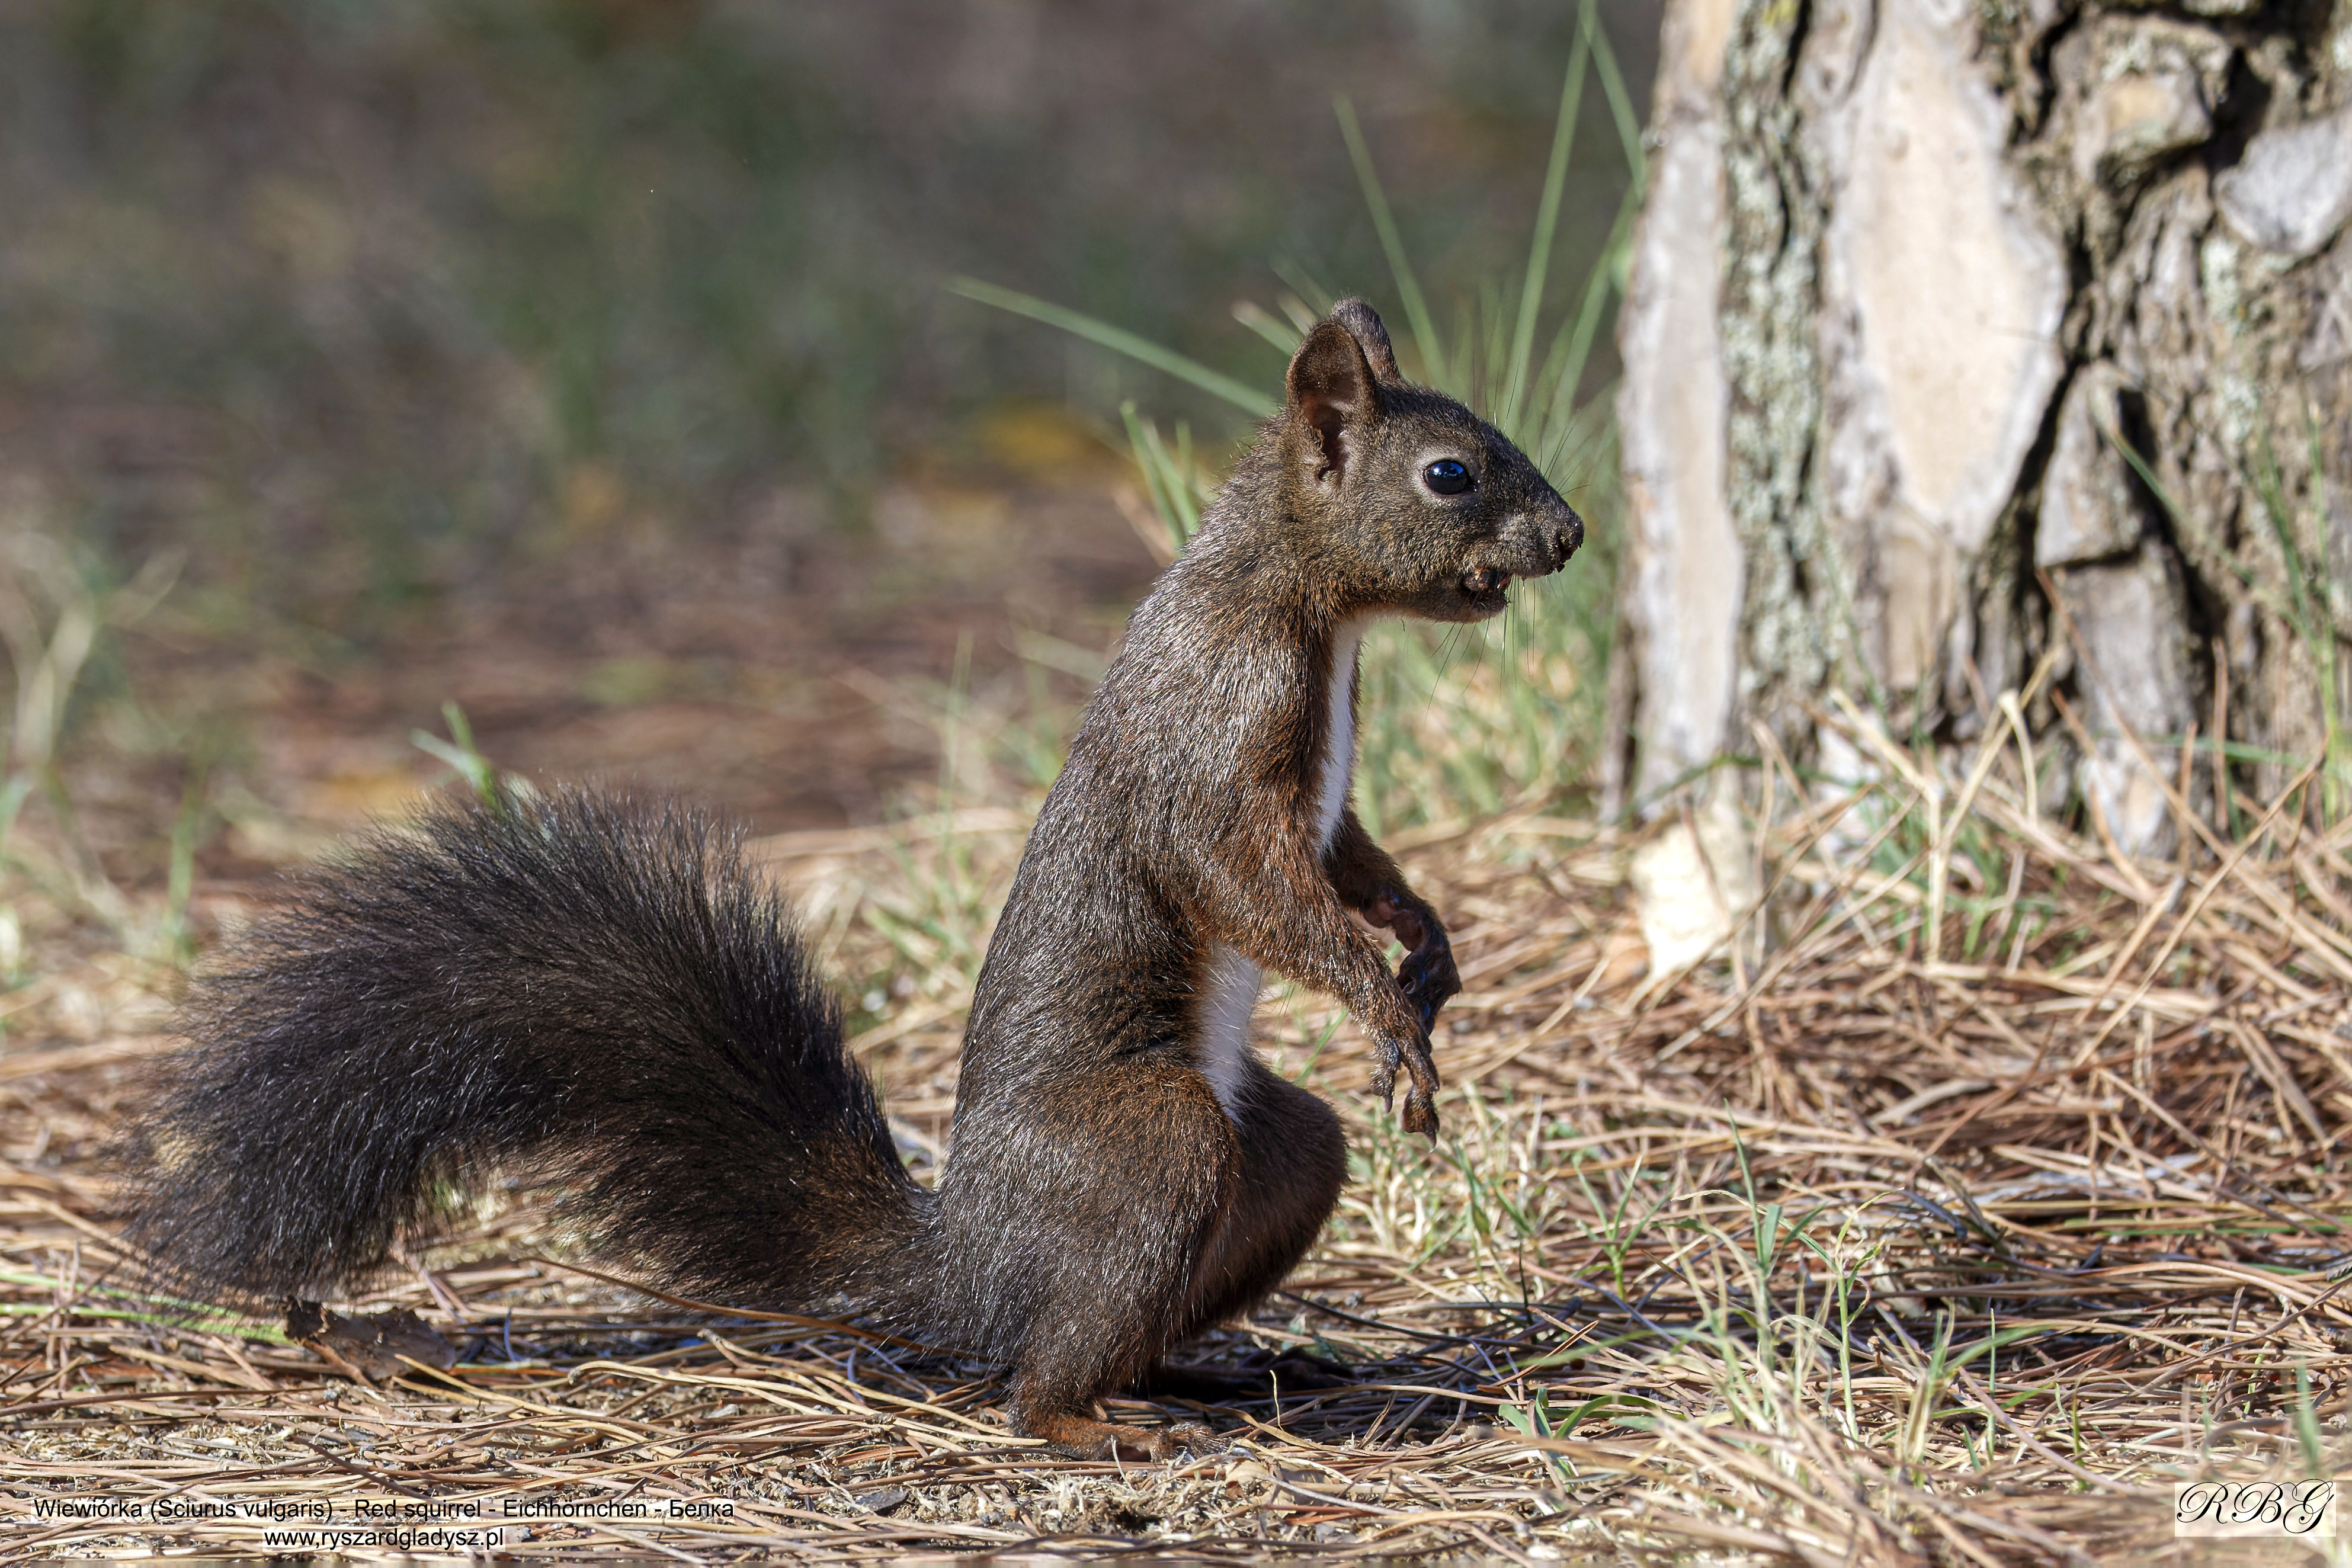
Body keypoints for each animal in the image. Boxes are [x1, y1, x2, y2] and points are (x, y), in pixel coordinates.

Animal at [124, 300, 1582, 1461]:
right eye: (1450, 472)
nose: (1569, 535)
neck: (1301, 596)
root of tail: (968, 1267)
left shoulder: (1321, 800)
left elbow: (1349, 860)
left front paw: (1428, 948)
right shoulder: (1214, 736)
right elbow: (1245, 877)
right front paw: (1385, 1009)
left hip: (1277, 1158)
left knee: (1138, 1299)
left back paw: (1219, 1370)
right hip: (1148, 1142)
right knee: (1031, 1374)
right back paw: (1098, 1422)